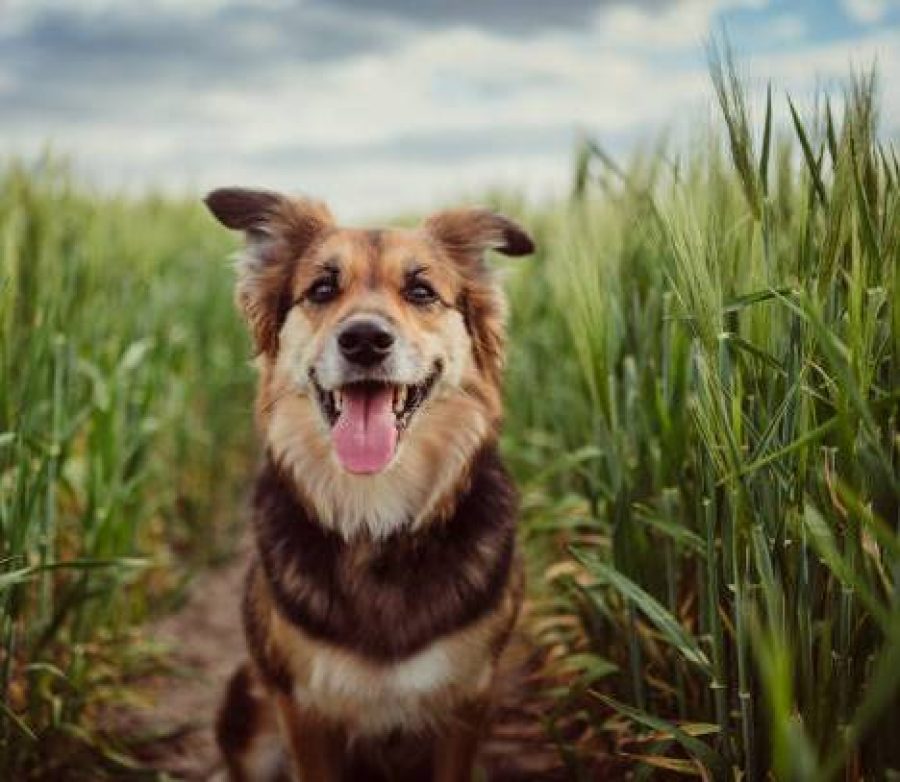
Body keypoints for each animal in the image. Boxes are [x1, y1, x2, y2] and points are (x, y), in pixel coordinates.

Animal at [204, 187, 536, 780]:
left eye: (421, 291)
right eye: (322, 289)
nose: (364, 339)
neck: (375, 515)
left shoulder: (467, 701)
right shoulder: (303, 709)